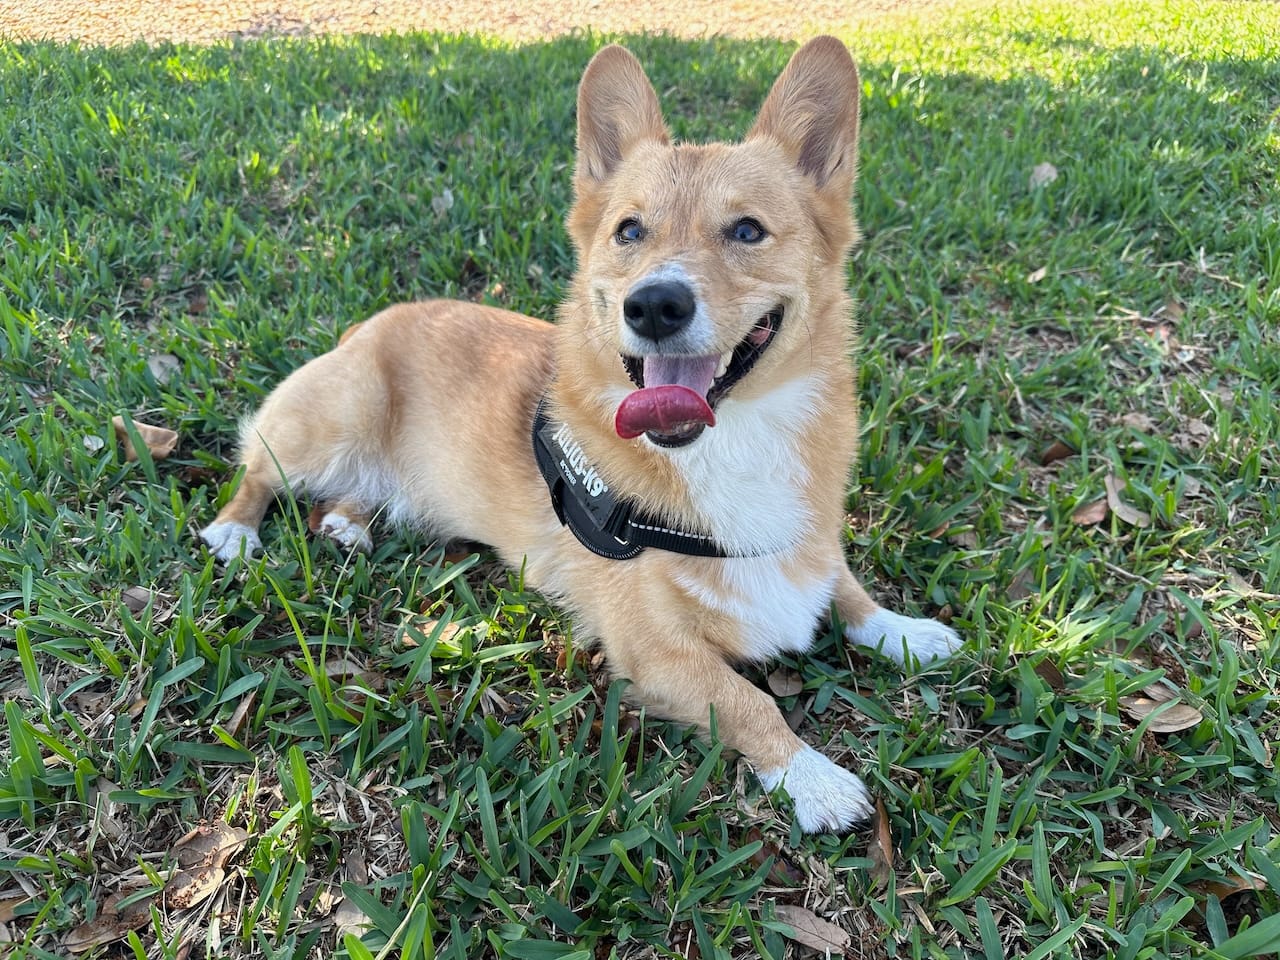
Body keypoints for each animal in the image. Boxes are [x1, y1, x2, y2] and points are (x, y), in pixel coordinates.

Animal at [199, 37, 962, 834]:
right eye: (629, 231)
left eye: (748, 230)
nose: (653, 305)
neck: (731, 442)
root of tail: (371, 322)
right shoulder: (655, 651)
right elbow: (749, 701)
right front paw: (812, 778)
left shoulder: (806, 545)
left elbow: (847, 591)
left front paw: (906, 631)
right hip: (337, 416)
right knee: (259, 468)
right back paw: (237, 532)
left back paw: (349, 523)